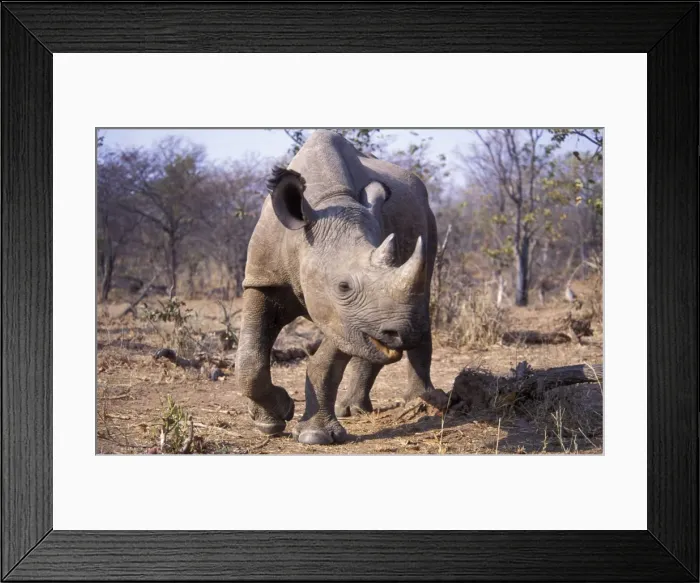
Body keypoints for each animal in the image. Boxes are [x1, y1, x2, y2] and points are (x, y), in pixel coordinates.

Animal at [236, 130, 438, 445]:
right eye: (343, 286)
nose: (402, 334)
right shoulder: (263, 280)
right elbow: (249, 358)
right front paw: (272, 418)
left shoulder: (343, 317)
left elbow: (328, 361)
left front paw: (313, 436)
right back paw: (353, 409)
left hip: (429, 218)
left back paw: (422, 403)